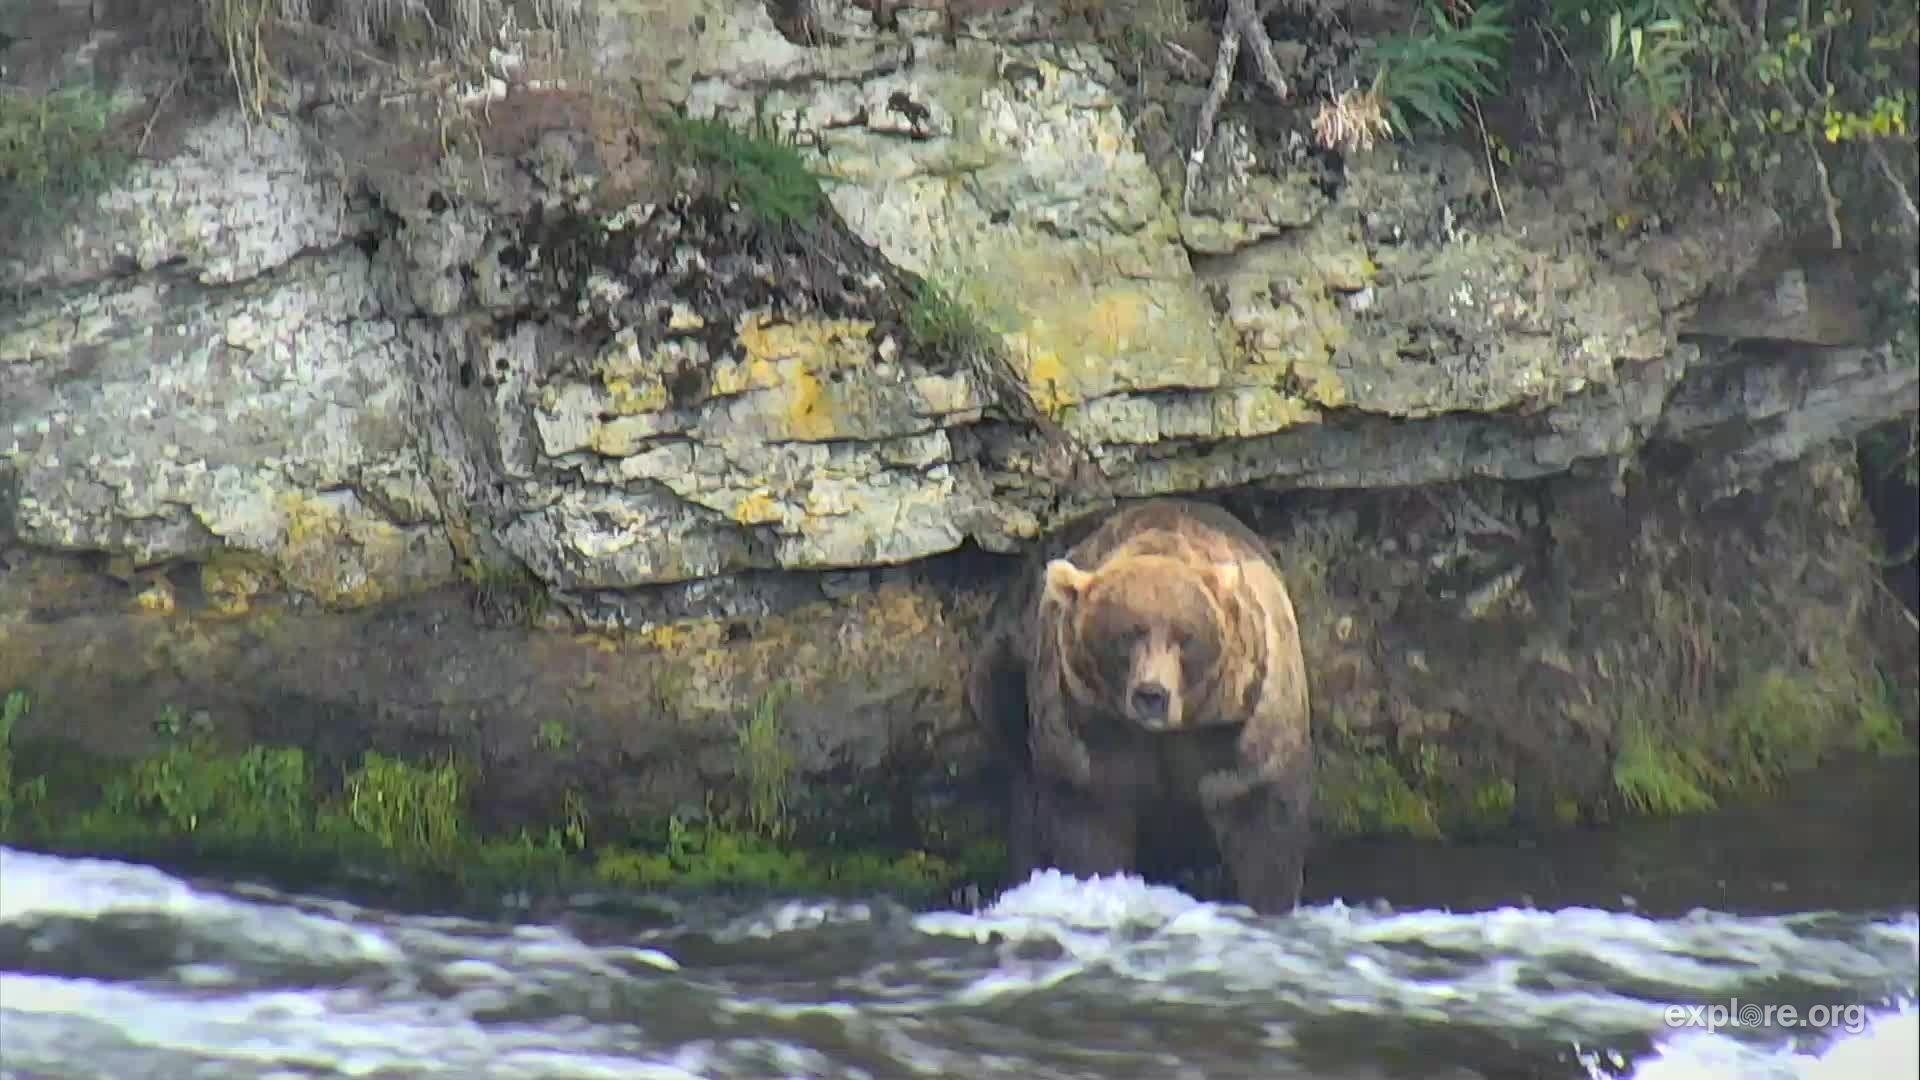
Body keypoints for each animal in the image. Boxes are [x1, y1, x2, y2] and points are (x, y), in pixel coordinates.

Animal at [967, 495, 1313, 907]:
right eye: (1126, 635)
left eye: (1185, 636)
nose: (1152, 694)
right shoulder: (1090, 727)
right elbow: (1089, 819)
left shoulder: (1238, 726)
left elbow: (1262, 822)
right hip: (1004, 666)